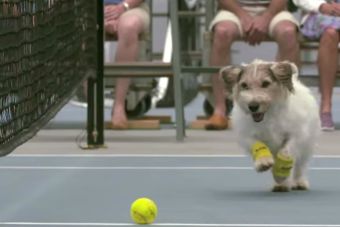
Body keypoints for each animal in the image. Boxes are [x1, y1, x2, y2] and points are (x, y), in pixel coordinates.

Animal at [222, 59, 320, 192]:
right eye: (244, 85)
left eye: (265, 83)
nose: (253, 106)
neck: (269, 115)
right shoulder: (246, 135)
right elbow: (257, 143)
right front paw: (263, 162)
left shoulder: (297, 135)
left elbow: (286, 151)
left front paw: (280, 172)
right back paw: (281, 185)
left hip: (307, 145)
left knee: (300, 165)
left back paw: (298, 181)